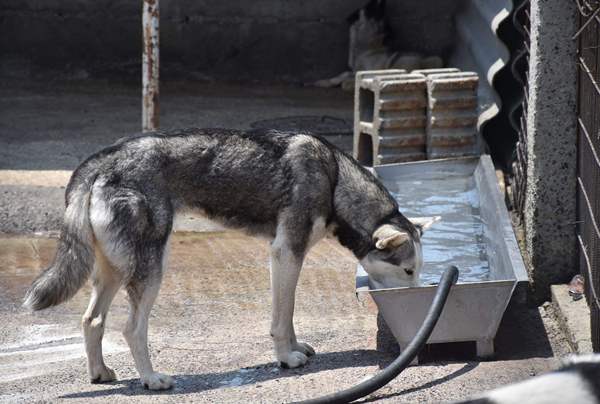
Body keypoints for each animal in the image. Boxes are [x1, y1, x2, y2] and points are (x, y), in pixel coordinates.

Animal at [23, 128, 436, 390]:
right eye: (407, 270)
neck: (333, 178)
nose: (419, 299)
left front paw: (295, 348)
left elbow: (288, 314)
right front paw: (286, 358)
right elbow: (281, 318)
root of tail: (99, 162)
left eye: (418, 271)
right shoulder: (286, 253)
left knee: (92, 320)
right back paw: (151, 380)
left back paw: (100, 373)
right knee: (131, 329)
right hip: (150, 270)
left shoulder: (289, 258)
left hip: (114, 270)